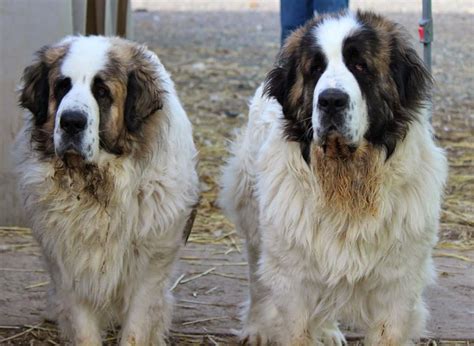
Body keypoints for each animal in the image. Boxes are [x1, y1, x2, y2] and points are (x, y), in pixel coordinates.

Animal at [15, 36, 200, 344]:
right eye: (62, 87)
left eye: (101, 92)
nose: (71, 121)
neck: (98, 182)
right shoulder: (70, 266)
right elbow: (83, 327)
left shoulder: (149, 267)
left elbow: (136, 328)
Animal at [220, 10, 446, 346]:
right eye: (315, 69)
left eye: (360, 65)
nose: (330, 100)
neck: (347, 177)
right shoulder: (293, 283)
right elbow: (295, 327)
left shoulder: (397, 289)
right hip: (254, 218)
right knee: (257, 279)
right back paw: (257, 327)